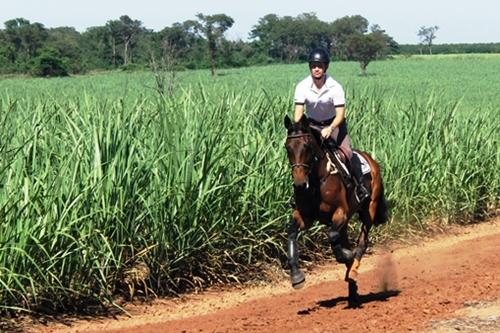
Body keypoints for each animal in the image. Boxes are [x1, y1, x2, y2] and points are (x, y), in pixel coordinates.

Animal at [284, 113, 388, 304]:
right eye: (288, 147)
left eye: (307, 146)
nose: (300, 184)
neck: (316, 181)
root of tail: (371, 160)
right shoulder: (305, 216)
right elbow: (292, 233)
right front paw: (296, 277)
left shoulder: (341, 212)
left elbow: (332, 235)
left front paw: (347, 255)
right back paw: (352, 290)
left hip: (368, 209)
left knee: (362, 241)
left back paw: (353, 269)